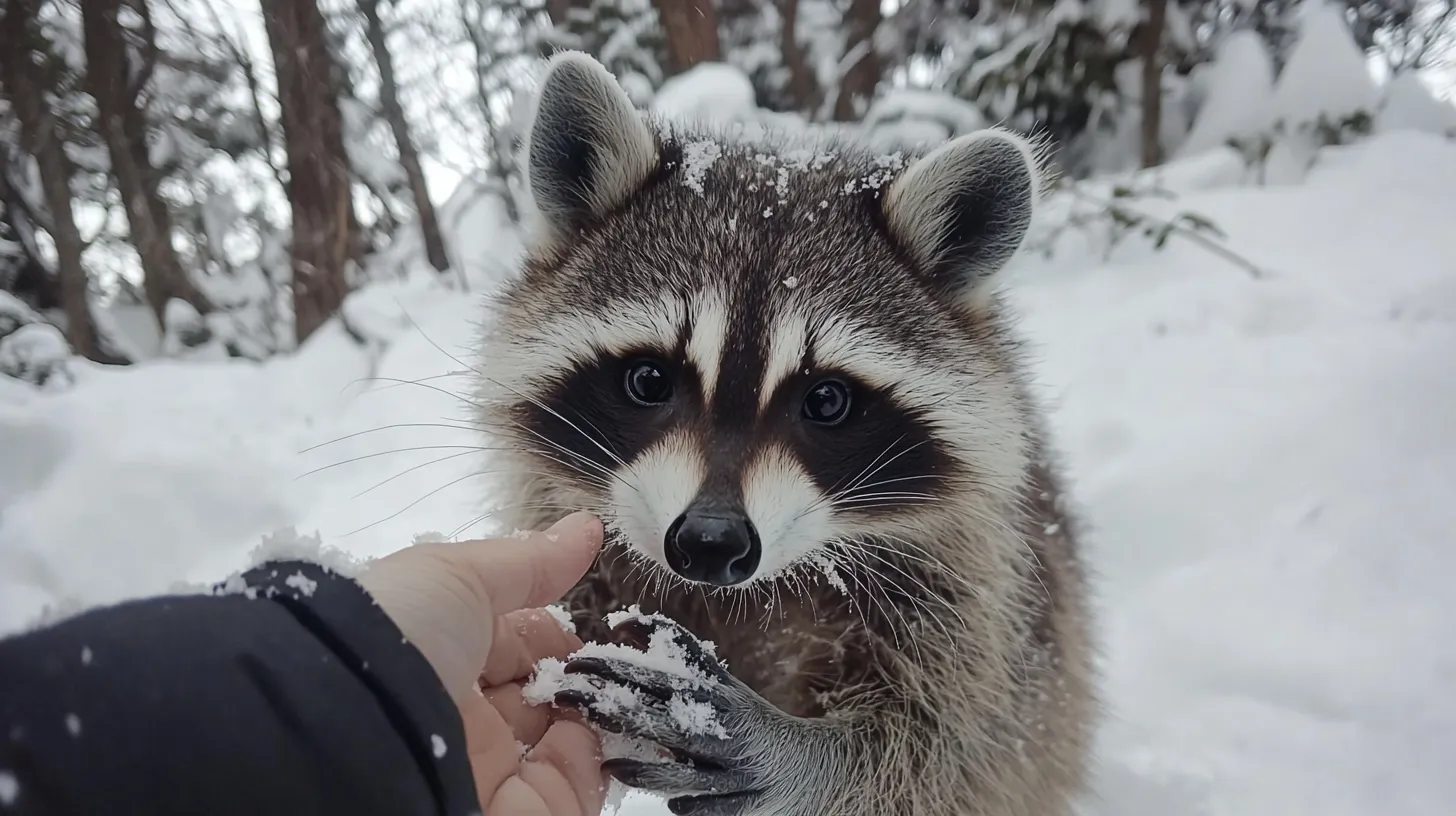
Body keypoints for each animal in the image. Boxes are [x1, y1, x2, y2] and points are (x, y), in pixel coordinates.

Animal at [474, 51, 1098, 816]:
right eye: (649, 380)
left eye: (826, 400)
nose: (710, 543)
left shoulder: (980, 588)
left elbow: (956, 751)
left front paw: (810, 757)